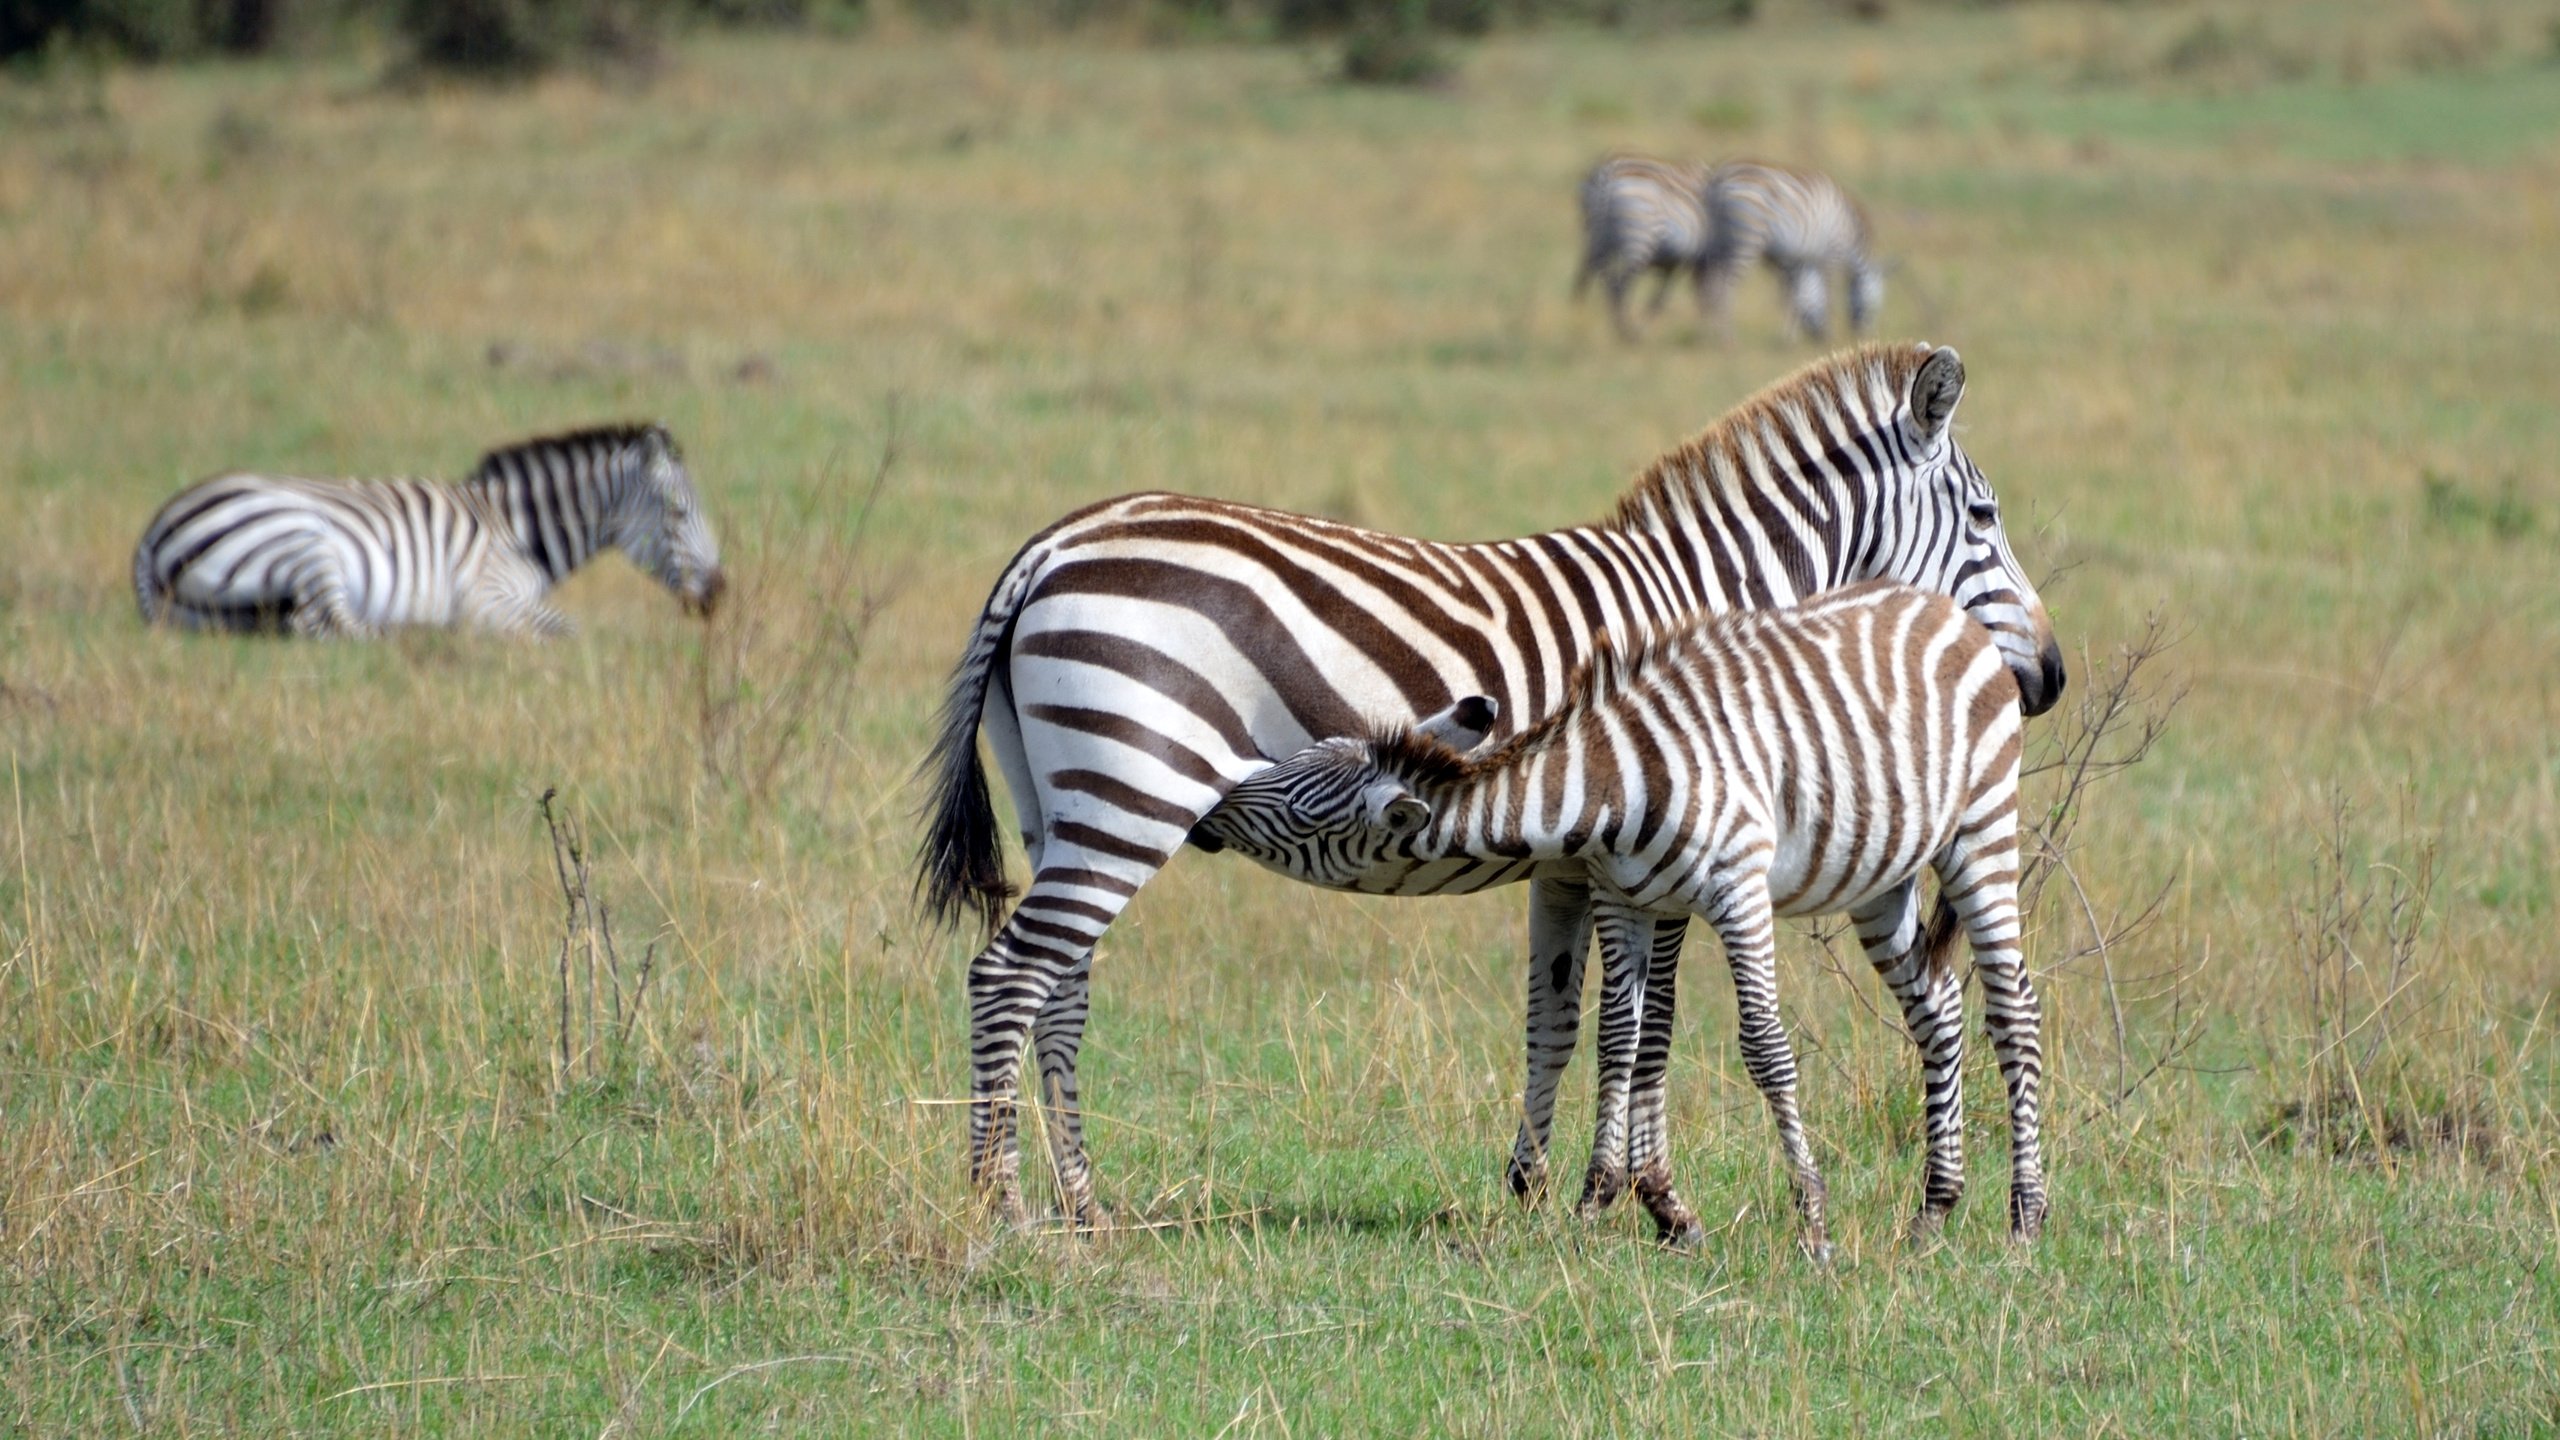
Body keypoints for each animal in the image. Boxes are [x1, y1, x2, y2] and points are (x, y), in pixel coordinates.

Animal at [132, 423, 723, 638]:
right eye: (677, 513)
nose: (720, 593)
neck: (518, 531)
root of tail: (153, 530)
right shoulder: (489, 596)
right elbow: (565, 629)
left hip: (215, 608)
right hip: (303, 539)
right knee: (328, 624)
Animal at [1194, 581, 2047, 1257]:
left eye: (1302, 807)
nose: (1203, 813)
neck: (1613, 786)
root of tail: (1941, 607)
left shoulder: (1738, 887)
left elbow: (1764, 1046)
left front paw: (1812, 1220)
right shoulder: (1624, 897)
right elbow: (1619, 1038)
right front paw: (1596, 1199)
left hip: (1981, 831)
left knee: (2013, 1009)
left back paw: (2025, 1217)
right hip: (1883, 875)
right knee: (1938, 1011)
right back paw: (1934, 1211)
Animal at [1571, 154, 1718, 342]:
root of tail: (1607, 173)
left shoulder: (1673, 264)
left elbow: (1661, 298)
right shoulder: (1687, 262)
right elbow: (1691, 295)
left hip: (1594, 237)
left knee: (1587, 277)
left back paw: (1576, 316)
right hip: (1637, 240)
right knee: (1620, 284)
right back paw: (1625, 332)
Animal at [1701, 161, 1885, 343]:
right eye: (1875, 304)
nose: (1864, 335)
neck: (1849, 227)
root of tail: (1719, 177)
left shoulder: (1795, 259)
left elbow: (1794, 296)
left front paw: (1791, 336)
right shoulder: (1830, 254)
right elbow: (1826, 294)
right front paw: (1827, 333)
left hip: (1718, 241)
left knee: (1710, 283)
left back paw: (1710, 333)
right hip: (1748, 237)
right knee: (1726, 286)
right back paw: (1728, 338)